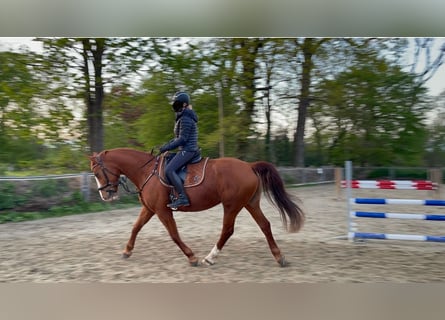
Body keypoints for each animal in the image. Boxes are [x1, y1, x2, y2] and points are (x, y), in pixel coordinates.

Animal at [90, 148, 306, 268]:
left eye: (97, 172)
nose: (104, 195)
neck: (146, 172)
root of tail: (249, 166)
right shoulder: (150, 209)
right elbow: (135, 227)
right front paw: (127, 251)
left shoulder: (162, 211)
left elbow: (174, 234)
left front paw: (192, 257)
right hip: (249, 203)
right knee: (265, 225)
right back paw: (279, 257)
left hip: (232, 205)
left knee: (228, 230)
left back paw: (209, 258)